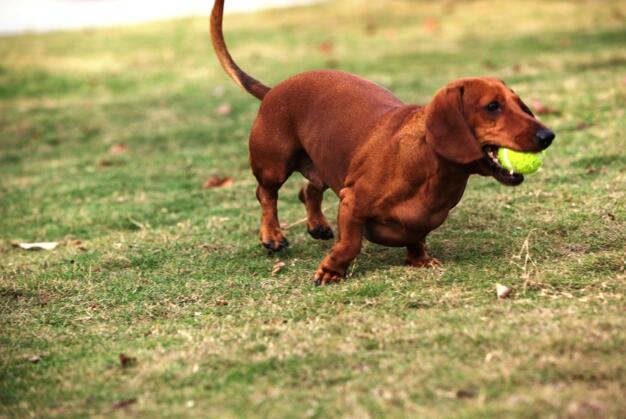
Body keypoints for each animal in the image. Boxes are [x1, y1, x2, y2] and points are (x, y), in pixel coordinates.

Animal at [208, 0, 552, 286]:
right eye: (492, 107)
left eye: (520, 105)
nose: (548, 136)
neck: (429, 168)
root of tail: (273, 89)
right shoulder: (351, 202)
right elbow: (350, 243)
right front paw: (331, 271)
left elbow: (416, 236)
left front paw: (419, 258)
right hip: (275, 164)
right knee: (266, 194)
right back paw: (272, 236)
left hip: (324, 161)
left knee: (308, 190)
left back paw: (317, 225)